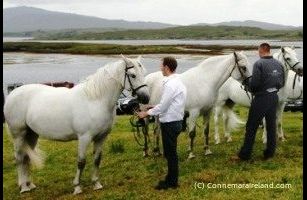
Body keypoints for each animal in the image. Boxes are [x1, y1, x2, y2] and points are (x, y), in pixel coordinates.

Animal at [3, 54, 150, 194]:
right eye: (133, 75)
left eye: (144, 72)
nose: (145, 98)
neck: (95, 100)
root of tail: (12, 94)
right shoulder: (84, 137)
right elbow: (81, 161)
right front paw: (77, 187)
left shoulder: (101, 137)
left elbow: (97, 159)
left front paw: (96, 184)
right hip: (19, 134)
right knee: (19, 158)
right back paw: (24, 187)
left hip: (31, 134)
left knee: (26, 157)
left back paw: (30, 184)